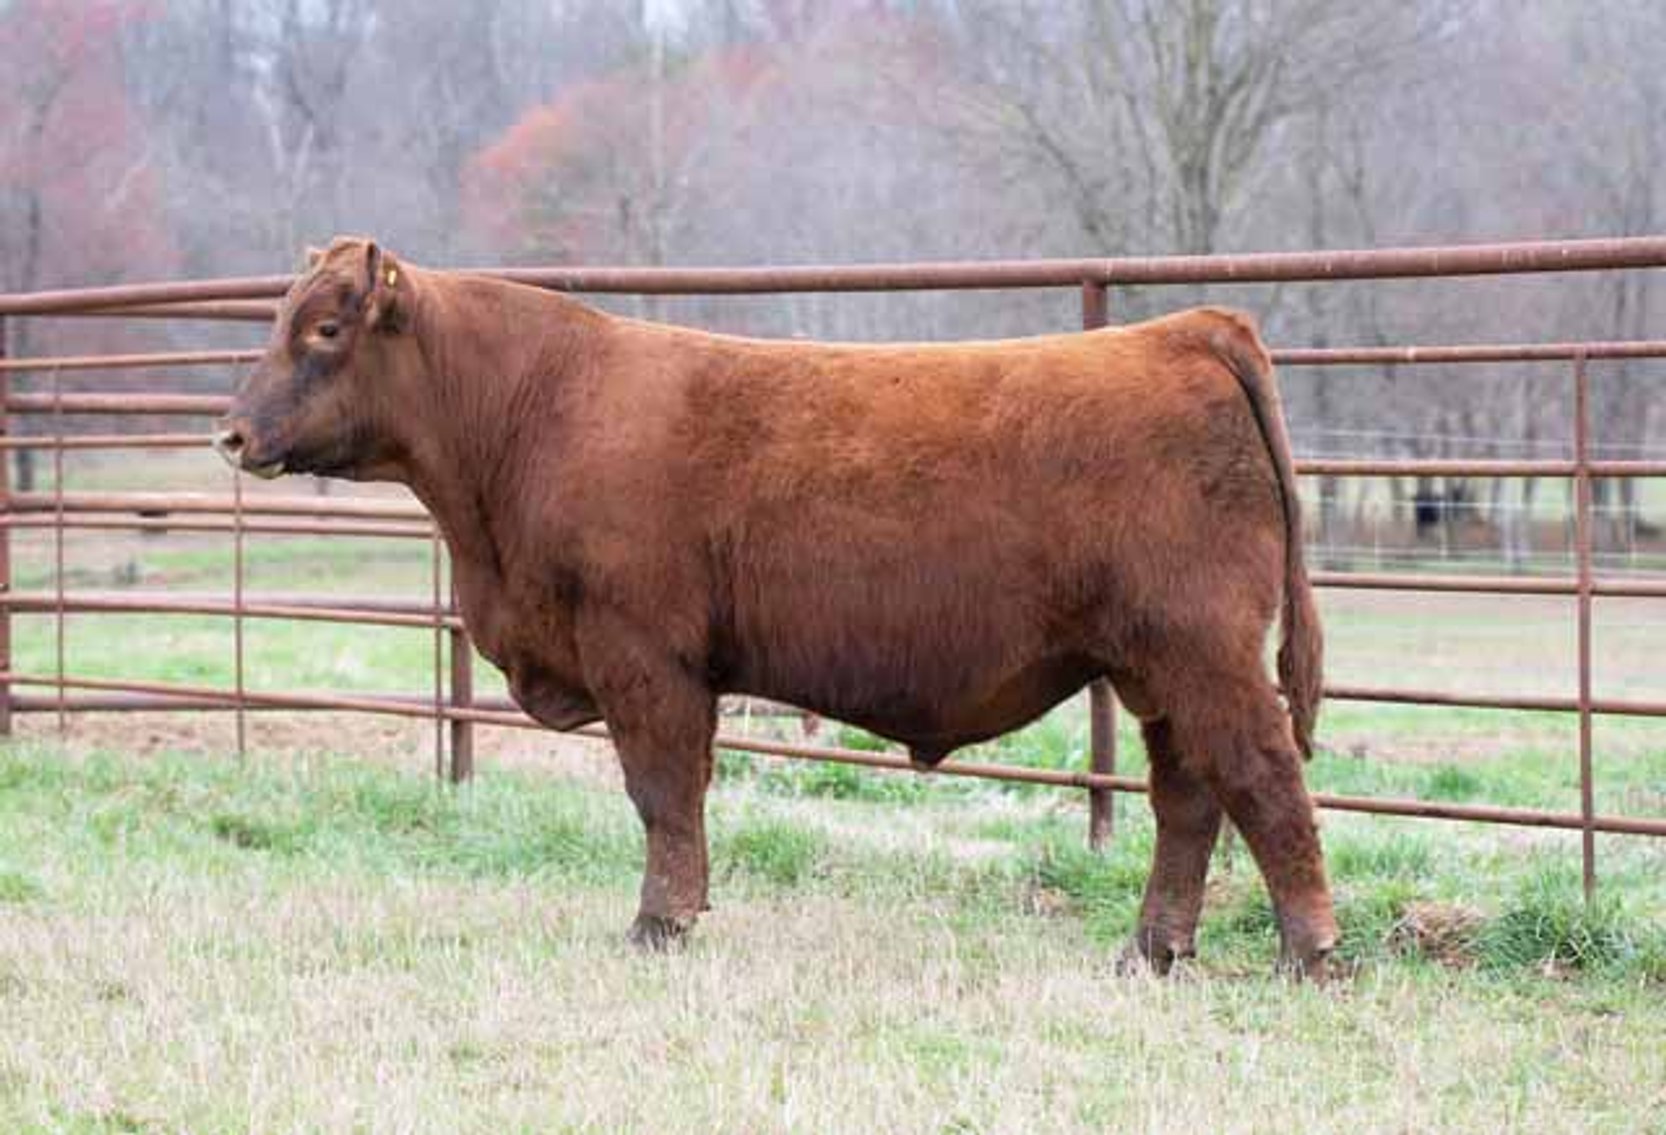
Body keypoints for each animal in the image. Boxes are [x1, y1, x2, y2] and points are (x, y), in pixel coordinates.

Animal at [215, 237, 1337, 977]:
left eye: (323, 329)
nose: (230, 434)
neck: (533, 414)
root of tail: (1188, 329)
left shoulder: (642, 653)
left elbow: (664, 794)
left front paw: (659, 926)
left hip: (1201, 648)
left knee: (1261, 776)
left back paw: (1308, 952)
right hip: (1155, 668)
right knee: (1189, 796)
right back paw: (1150, 950)